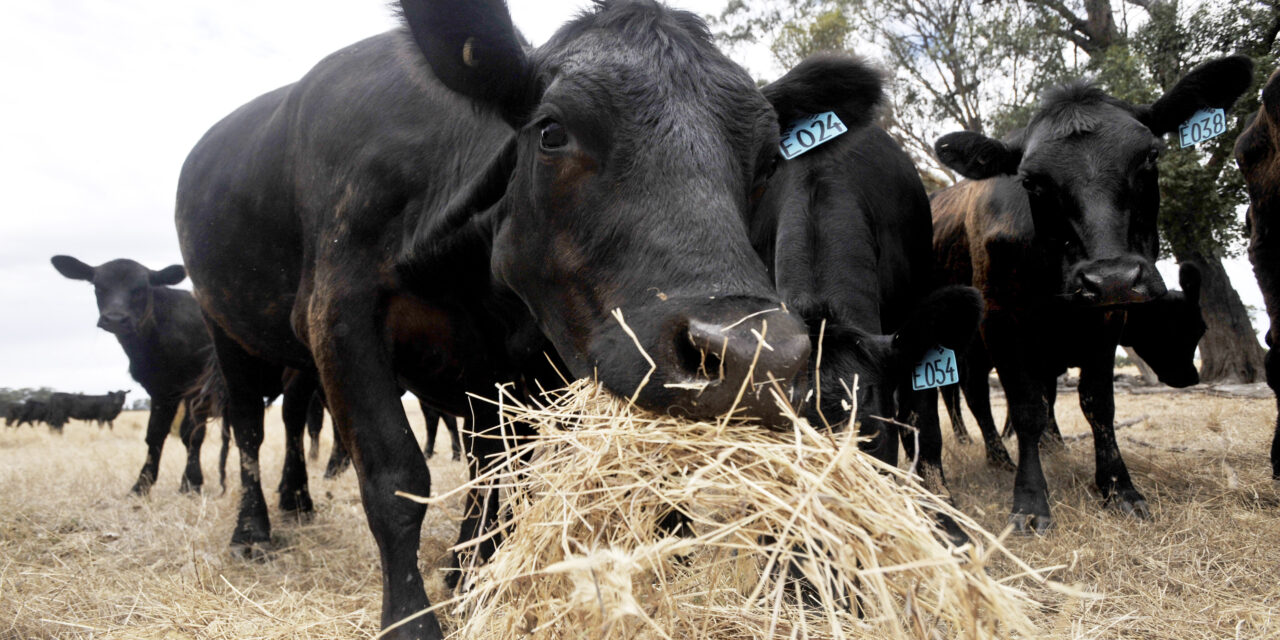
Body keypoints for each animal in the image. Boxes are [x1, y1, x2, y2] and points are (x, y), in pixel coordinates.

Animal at [170, 1, 916, 634]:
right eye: (552, 131)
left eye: (765, 164)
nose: (752, 355)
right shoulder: (339, 313)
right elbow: (395, 478)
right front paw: (411, 621)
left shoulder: (528, 355)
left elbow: (514, 476)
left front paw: (482, 575)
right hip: (224, 324)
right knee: (249, 426)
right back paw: (255, 530)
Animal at [931, 56, 1249, 535]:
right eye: (1031, 180)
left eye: (1151, 155)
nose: (1112, 276)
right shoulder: (1001, 320)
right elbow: (1027, 406)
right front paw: (1030, 499)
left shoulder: (1105, 317)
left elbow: (1097, 403)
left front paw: (1117, 487)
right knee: (966, 394)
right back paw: (992, 457)